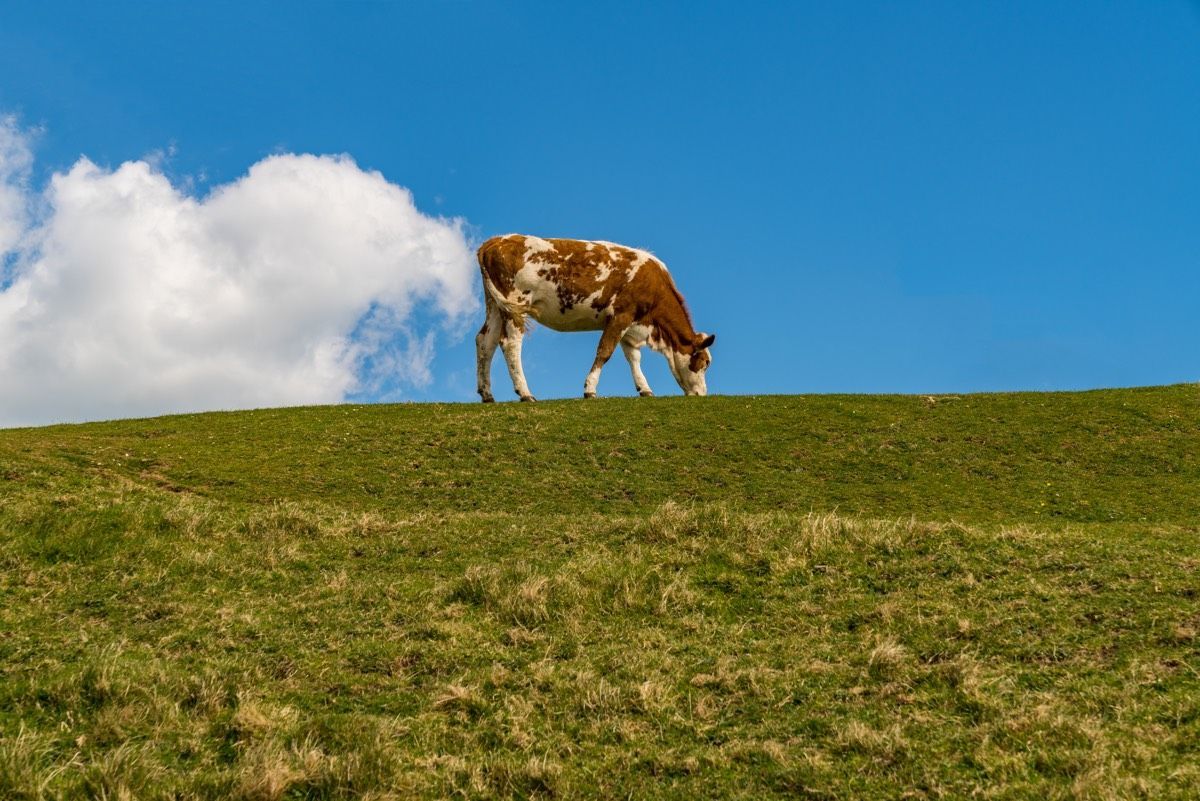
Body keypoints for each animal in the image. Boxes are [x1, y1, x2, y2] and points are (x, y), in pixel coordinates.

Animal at [475, 234, 715, 402]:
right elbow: (605, 352)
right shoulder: (621, 315)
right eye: (704, 363)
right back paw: (525, 393)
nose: (702, 394)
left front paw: (645, 389)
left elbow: (634, 358)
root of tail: (495, 240)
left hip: (495, 305)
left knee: (485, 341)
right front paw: (590, 389)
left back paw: (487, 394)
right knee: (510, 343)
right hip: (516, 304)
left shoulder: (631, 324)